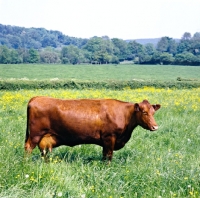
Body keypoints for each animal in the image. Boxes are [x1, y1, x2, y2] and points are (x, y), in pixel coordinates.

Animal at [24, 97, 160, 161]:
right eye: (144, 112)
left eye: (153, 112)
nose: (155, 127)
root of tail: (36, 98)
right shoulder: (109, 137)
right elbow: (109, 155)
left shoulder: (106, 141)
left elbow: (104, 155)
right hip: (35, 134)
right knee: (28, 147)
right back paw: (27, 163)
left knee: (43, 150)